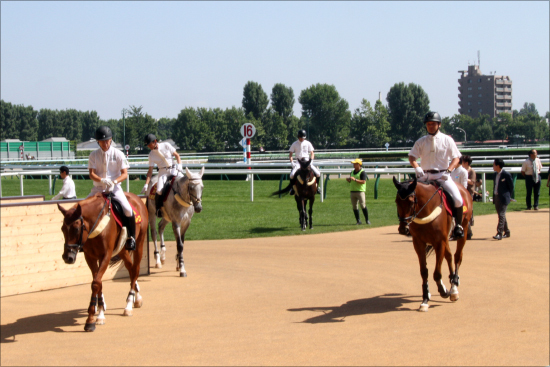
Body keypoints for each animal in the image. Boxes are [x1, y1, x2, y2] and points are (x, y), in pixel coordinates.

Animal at [58, 193, 149, 334]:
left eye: (76, 228)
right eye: (63, 229)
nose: (68, 257)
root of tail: (136, 198)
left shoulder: (105, 256)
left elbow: (96, 283)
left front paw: (91, 320)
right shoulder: (90, 257)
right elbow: (98, 282)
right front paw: (100, 311)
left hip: (139, 243)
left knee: (135, 270)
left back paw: (129, 304)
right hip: (122, 250)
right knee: (130, 268)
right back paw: (137, 297)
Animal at [396, 177, 474, 312]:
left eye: (410, 202)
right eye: (396, 201)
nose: (403, 229)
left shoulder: (439, 242)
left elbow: (437, 273)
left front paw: (443, 291)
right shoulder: (418, 243)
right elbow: (424, 272)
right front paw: (425, 299)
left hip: (462, 230)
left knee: (457, 257)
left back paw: (454, 289)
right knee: (449, 256)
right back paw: (451, 281)